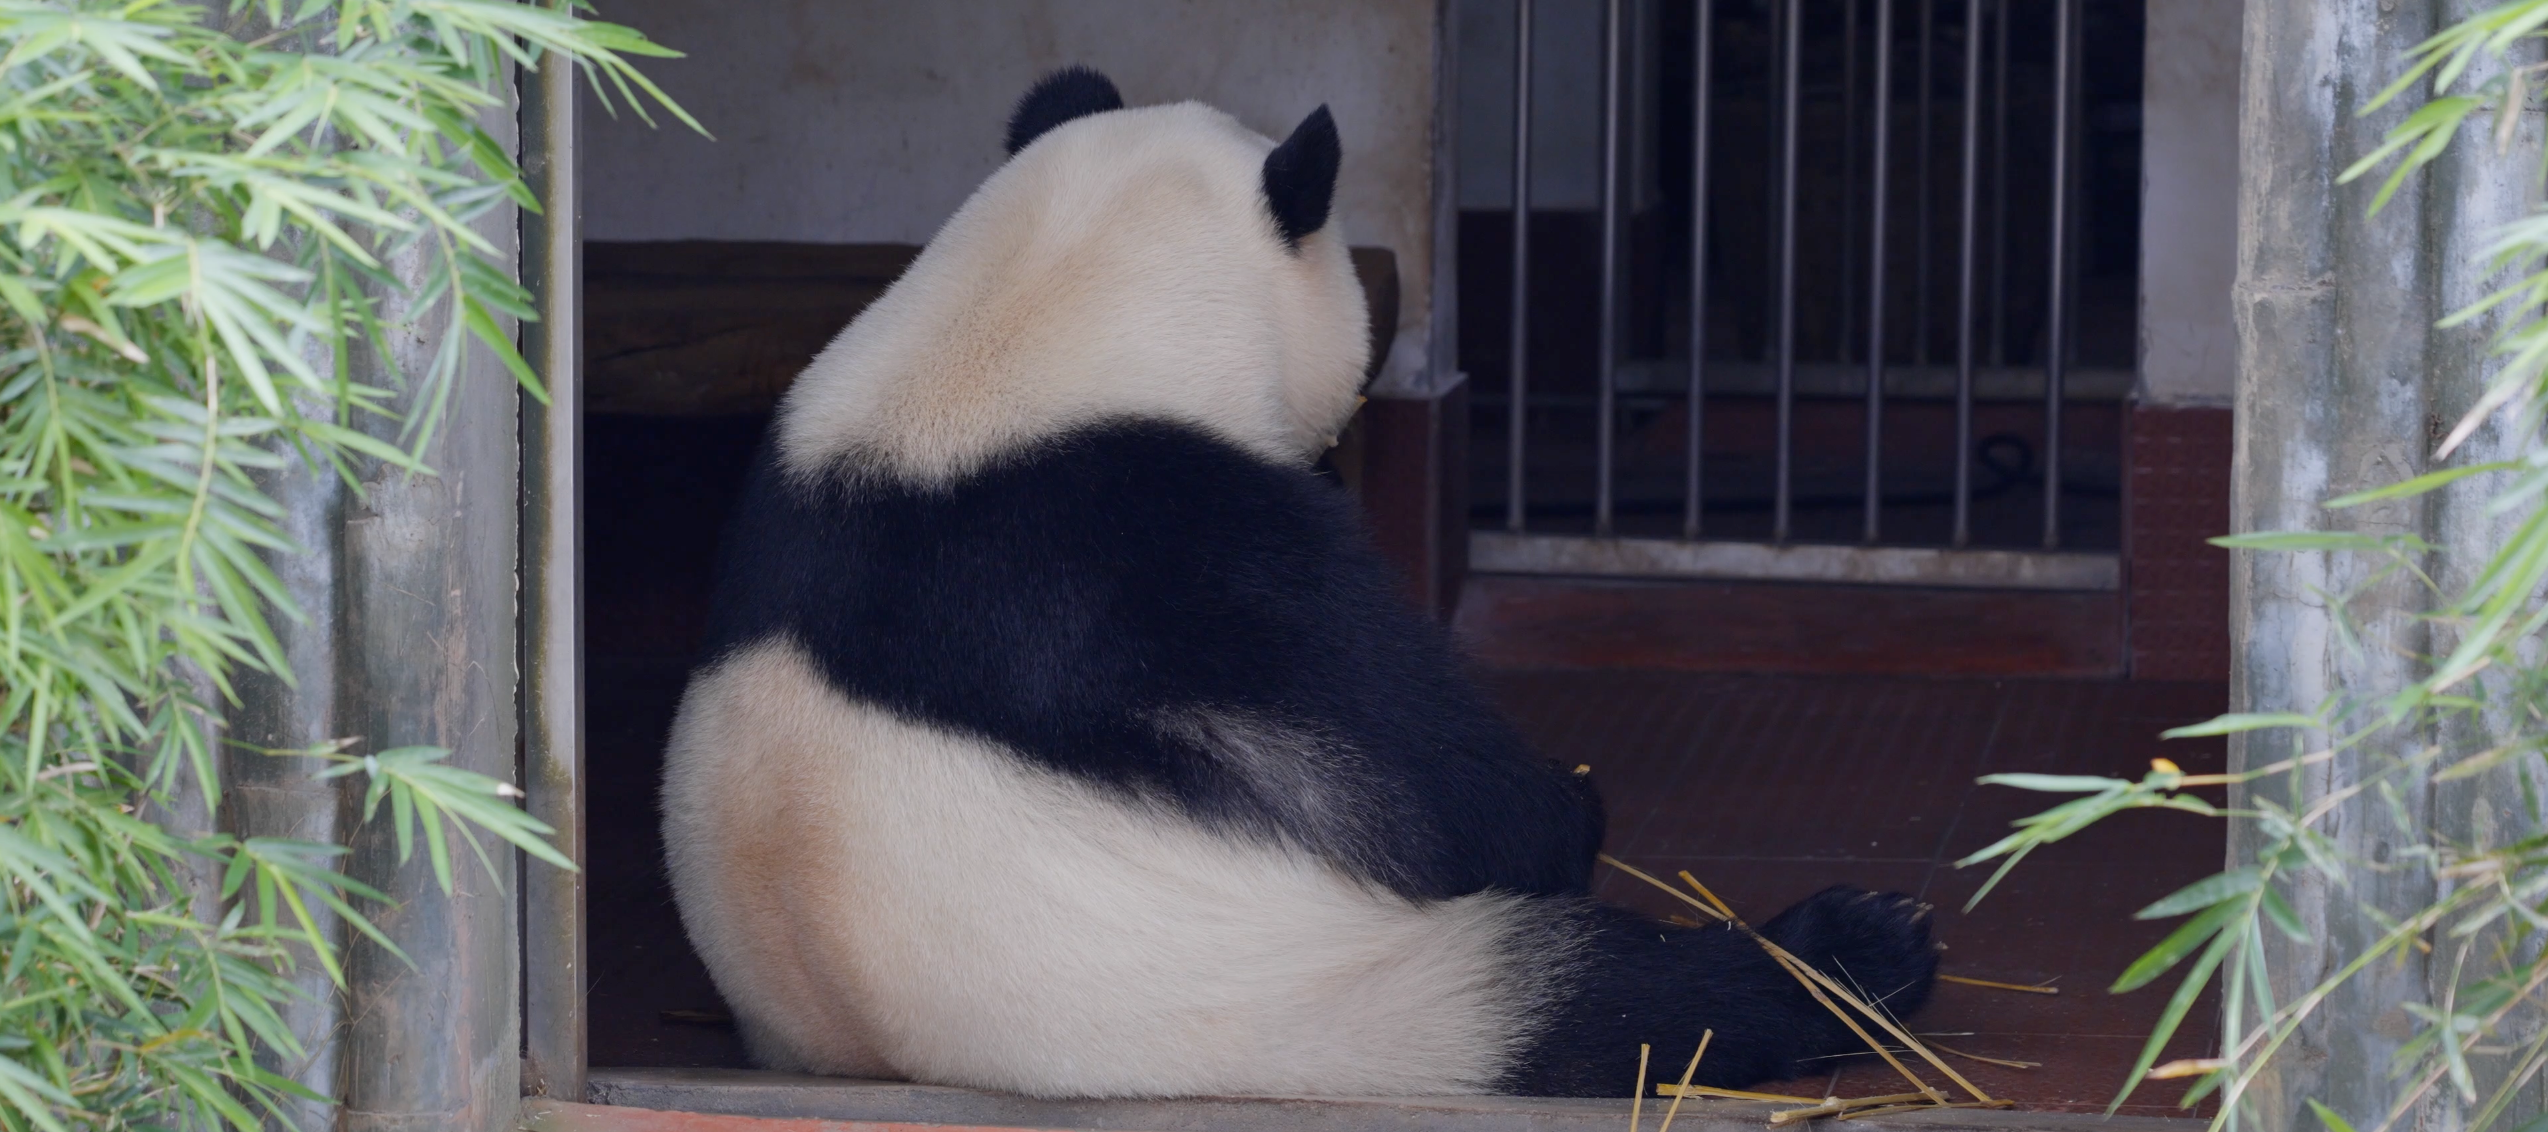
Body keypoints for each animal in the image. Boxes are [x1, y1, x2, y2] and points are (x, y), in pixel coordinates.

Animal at [660, 66, 1937, 1100]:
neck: (1020, 328)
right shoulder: (1180, 546)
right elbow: (1438, 786)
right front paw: (1567, 807)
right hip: (1336, 1000)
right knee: (1629, 1001)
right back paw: (1861, 949)